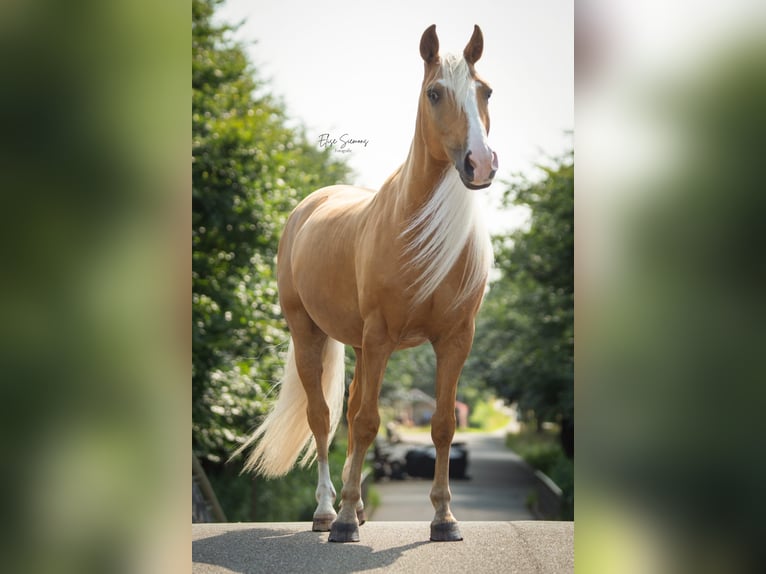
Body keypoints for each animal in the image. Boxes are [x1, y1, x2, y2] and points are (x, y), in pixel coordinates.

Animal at [234, 23, 498, 544]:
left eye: (486, 91)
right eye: (434, 93)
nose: (479, 163)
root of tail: (310, 204)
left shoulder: (455, 340)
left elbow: (441, 425)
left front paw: (444, 518)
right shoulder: (380, 337)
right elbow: (366, 422)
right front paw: (344, 521)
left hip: (356, 343)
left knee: (352, 410)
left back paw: (350, 509)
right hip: (308, 333)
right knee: (325, 419)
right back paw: (327, 512)